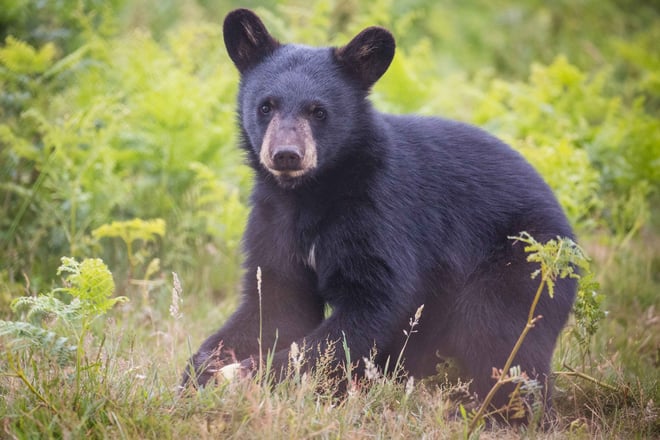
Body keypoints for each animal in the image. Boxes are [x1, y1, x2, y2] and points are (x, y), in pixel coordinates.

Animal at [182, 8, 577, 418]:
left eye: (318, 111)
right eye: (265, 106)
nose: (287, 155)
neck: (310, 194)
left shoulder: (379, 212)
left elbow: (371, 304)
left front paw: (241, 375)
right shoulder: (273, 219)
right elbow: (275, 301)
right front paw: (202, 371)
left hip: (520, 262)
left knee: (499, 336)